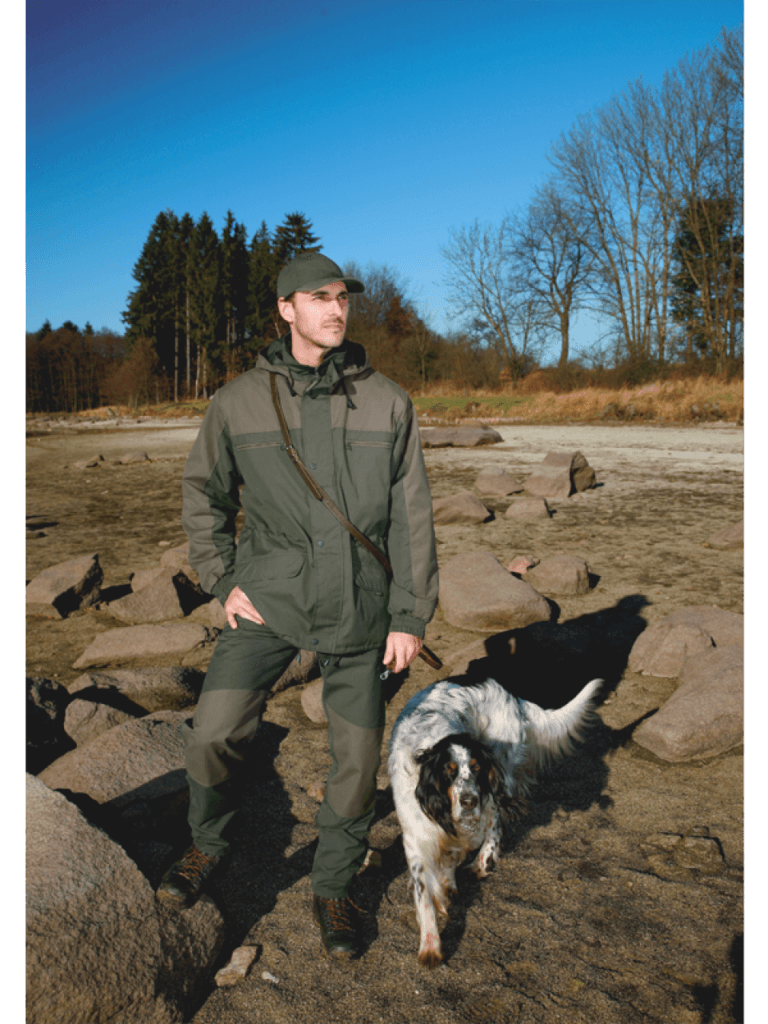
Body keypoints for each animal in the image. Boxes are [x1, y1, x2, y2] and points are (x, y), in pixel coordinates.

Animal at [391, 675, 602, 962]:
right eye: (448, 770)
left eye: (477, 767)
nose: (469, 801)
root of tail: (512, 696)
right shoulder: (416, 838)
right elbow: (426, 892)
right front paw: (431, 943)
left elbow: (481, 835)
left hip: (500, 770)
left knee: (495, 820)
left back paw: (481, 863)